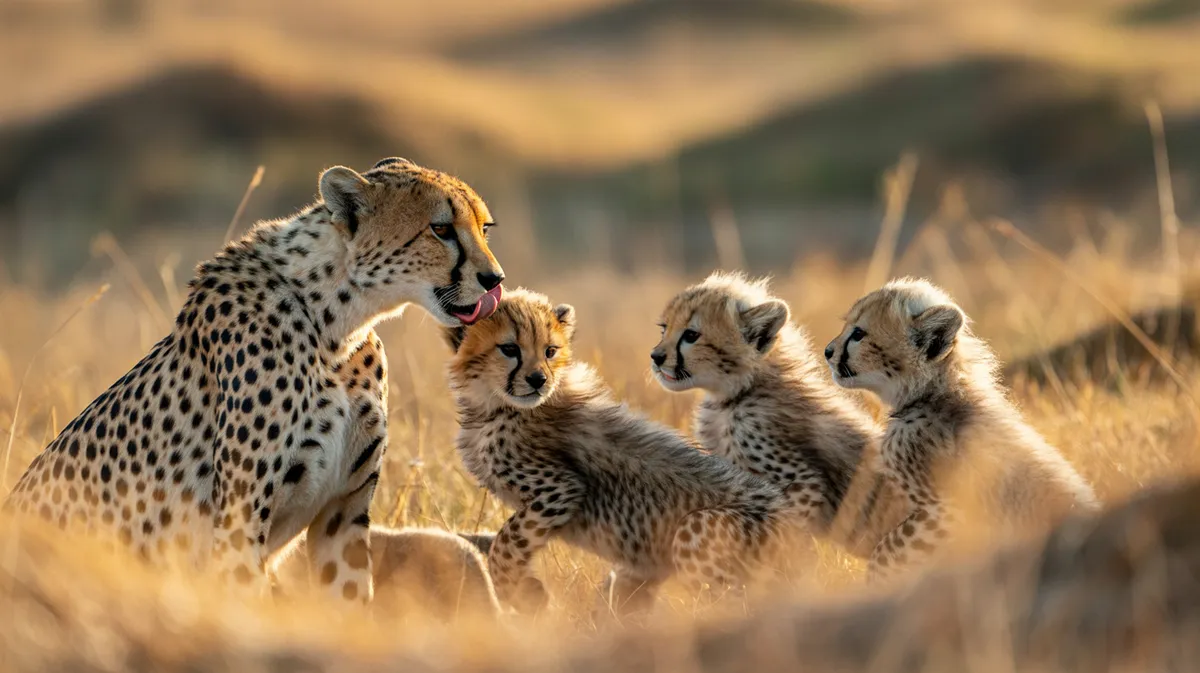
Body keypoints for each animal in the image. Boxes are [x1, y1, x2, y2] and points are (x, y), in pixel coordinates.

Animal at [4, 157, 506, 604]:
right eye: (440, 229)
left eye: (484, 229)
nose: (494, 279)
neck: (337, 324)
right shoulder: (239, 520)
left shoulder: (342, 513)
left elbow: (347, 599)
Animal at [444, 288, 791, 617]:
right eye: (509, 349)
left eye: (550, 351)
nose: (538, 379)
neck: (494, 405)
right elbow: (502, 540)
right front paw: (526, 586)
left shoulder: (561, 490)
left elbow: (507, 540)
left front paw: (523, 593)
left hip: (699, 529)